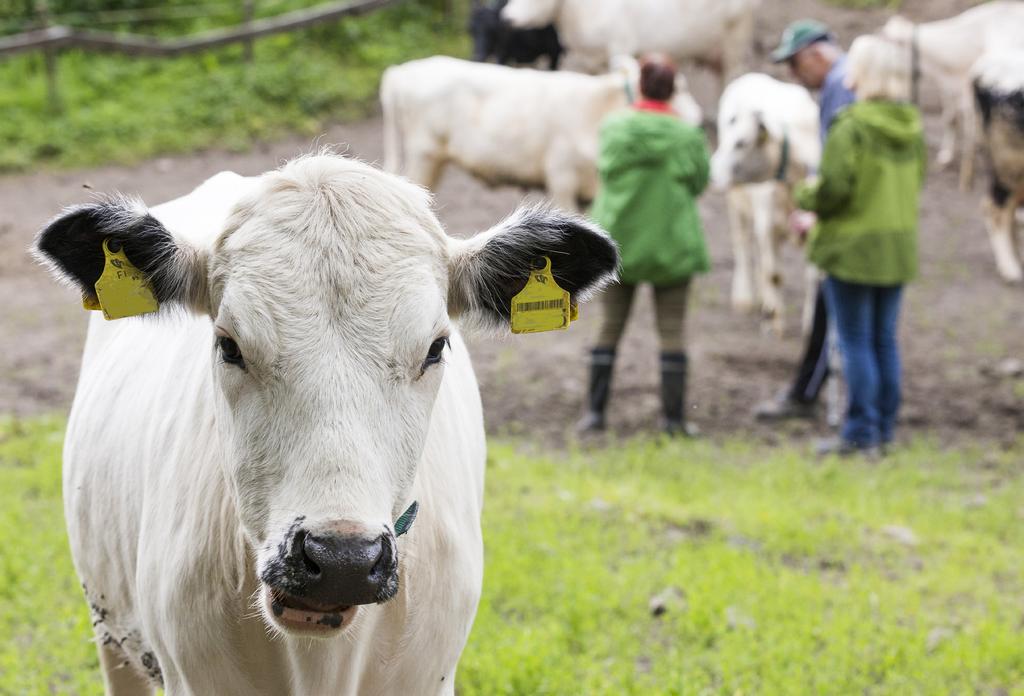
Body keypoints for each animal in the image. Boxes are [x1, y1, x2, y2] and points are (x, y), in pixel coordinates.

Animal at [712, 72, 823, 337]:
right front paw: (775, 321)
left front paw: (809, 324)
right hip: (736, 200)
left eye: (741, 142)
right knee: (743, 244)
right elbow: (775, 274)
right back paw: (746, 298)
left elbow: (812, 276)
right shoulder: (769, 223)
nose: (713, 170)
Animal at [880, 0, 1024, 190]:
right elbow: (950, 118)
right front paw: (946, 156)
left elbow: (970, 129)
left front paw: (967, 178)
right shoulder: (950, 89)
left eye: (886, 47)